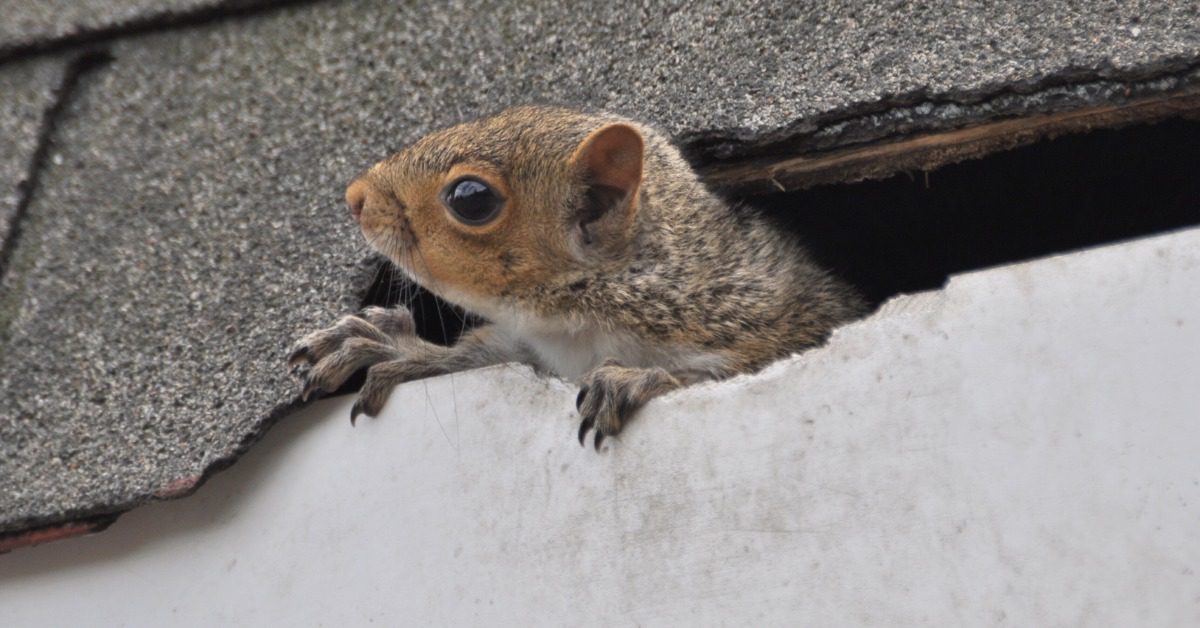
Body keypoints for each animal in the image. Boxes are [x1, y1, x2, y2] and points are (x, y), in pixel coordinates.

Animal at [288, 106, 866, 450]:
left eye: (471, 198)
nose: (356, 197)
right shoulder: (530, 350)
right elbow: (472, 355)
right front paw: (383, 345)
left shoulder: (756, 323)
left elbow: (726, 374)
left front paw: (635, 378)